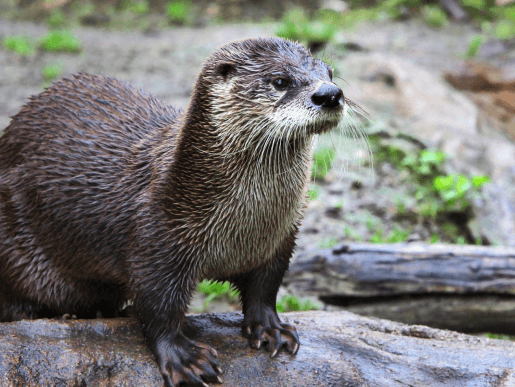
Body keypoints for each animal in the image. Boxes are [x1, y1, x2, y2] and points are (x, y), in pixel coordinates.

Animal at [0, 37, 346, 387]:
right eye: (279, 81)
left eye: (330, 73)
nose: (330, 94)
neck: (245, 228)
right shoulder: (156, 237)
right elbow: (157, 306)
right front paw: (184, 357)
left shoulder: (280, 240)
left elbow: (265, 287)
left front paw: (271, 328)